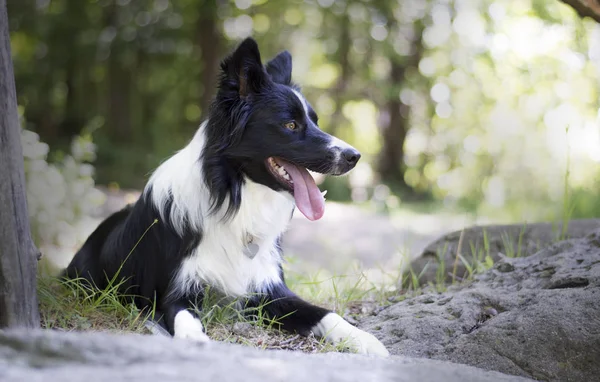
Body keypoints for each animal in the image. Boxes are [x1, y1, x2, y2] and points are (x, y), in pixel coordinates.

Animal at [65, 37, 392, 356]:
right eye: (290, 125)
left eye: (315, 121)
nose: (354, 156)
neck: (234, 198)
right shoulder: (176, 292)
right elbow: (186, 319)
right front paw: (196, 341)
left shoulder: (269, 290)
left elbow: (326, 313)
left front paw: (365, 339)